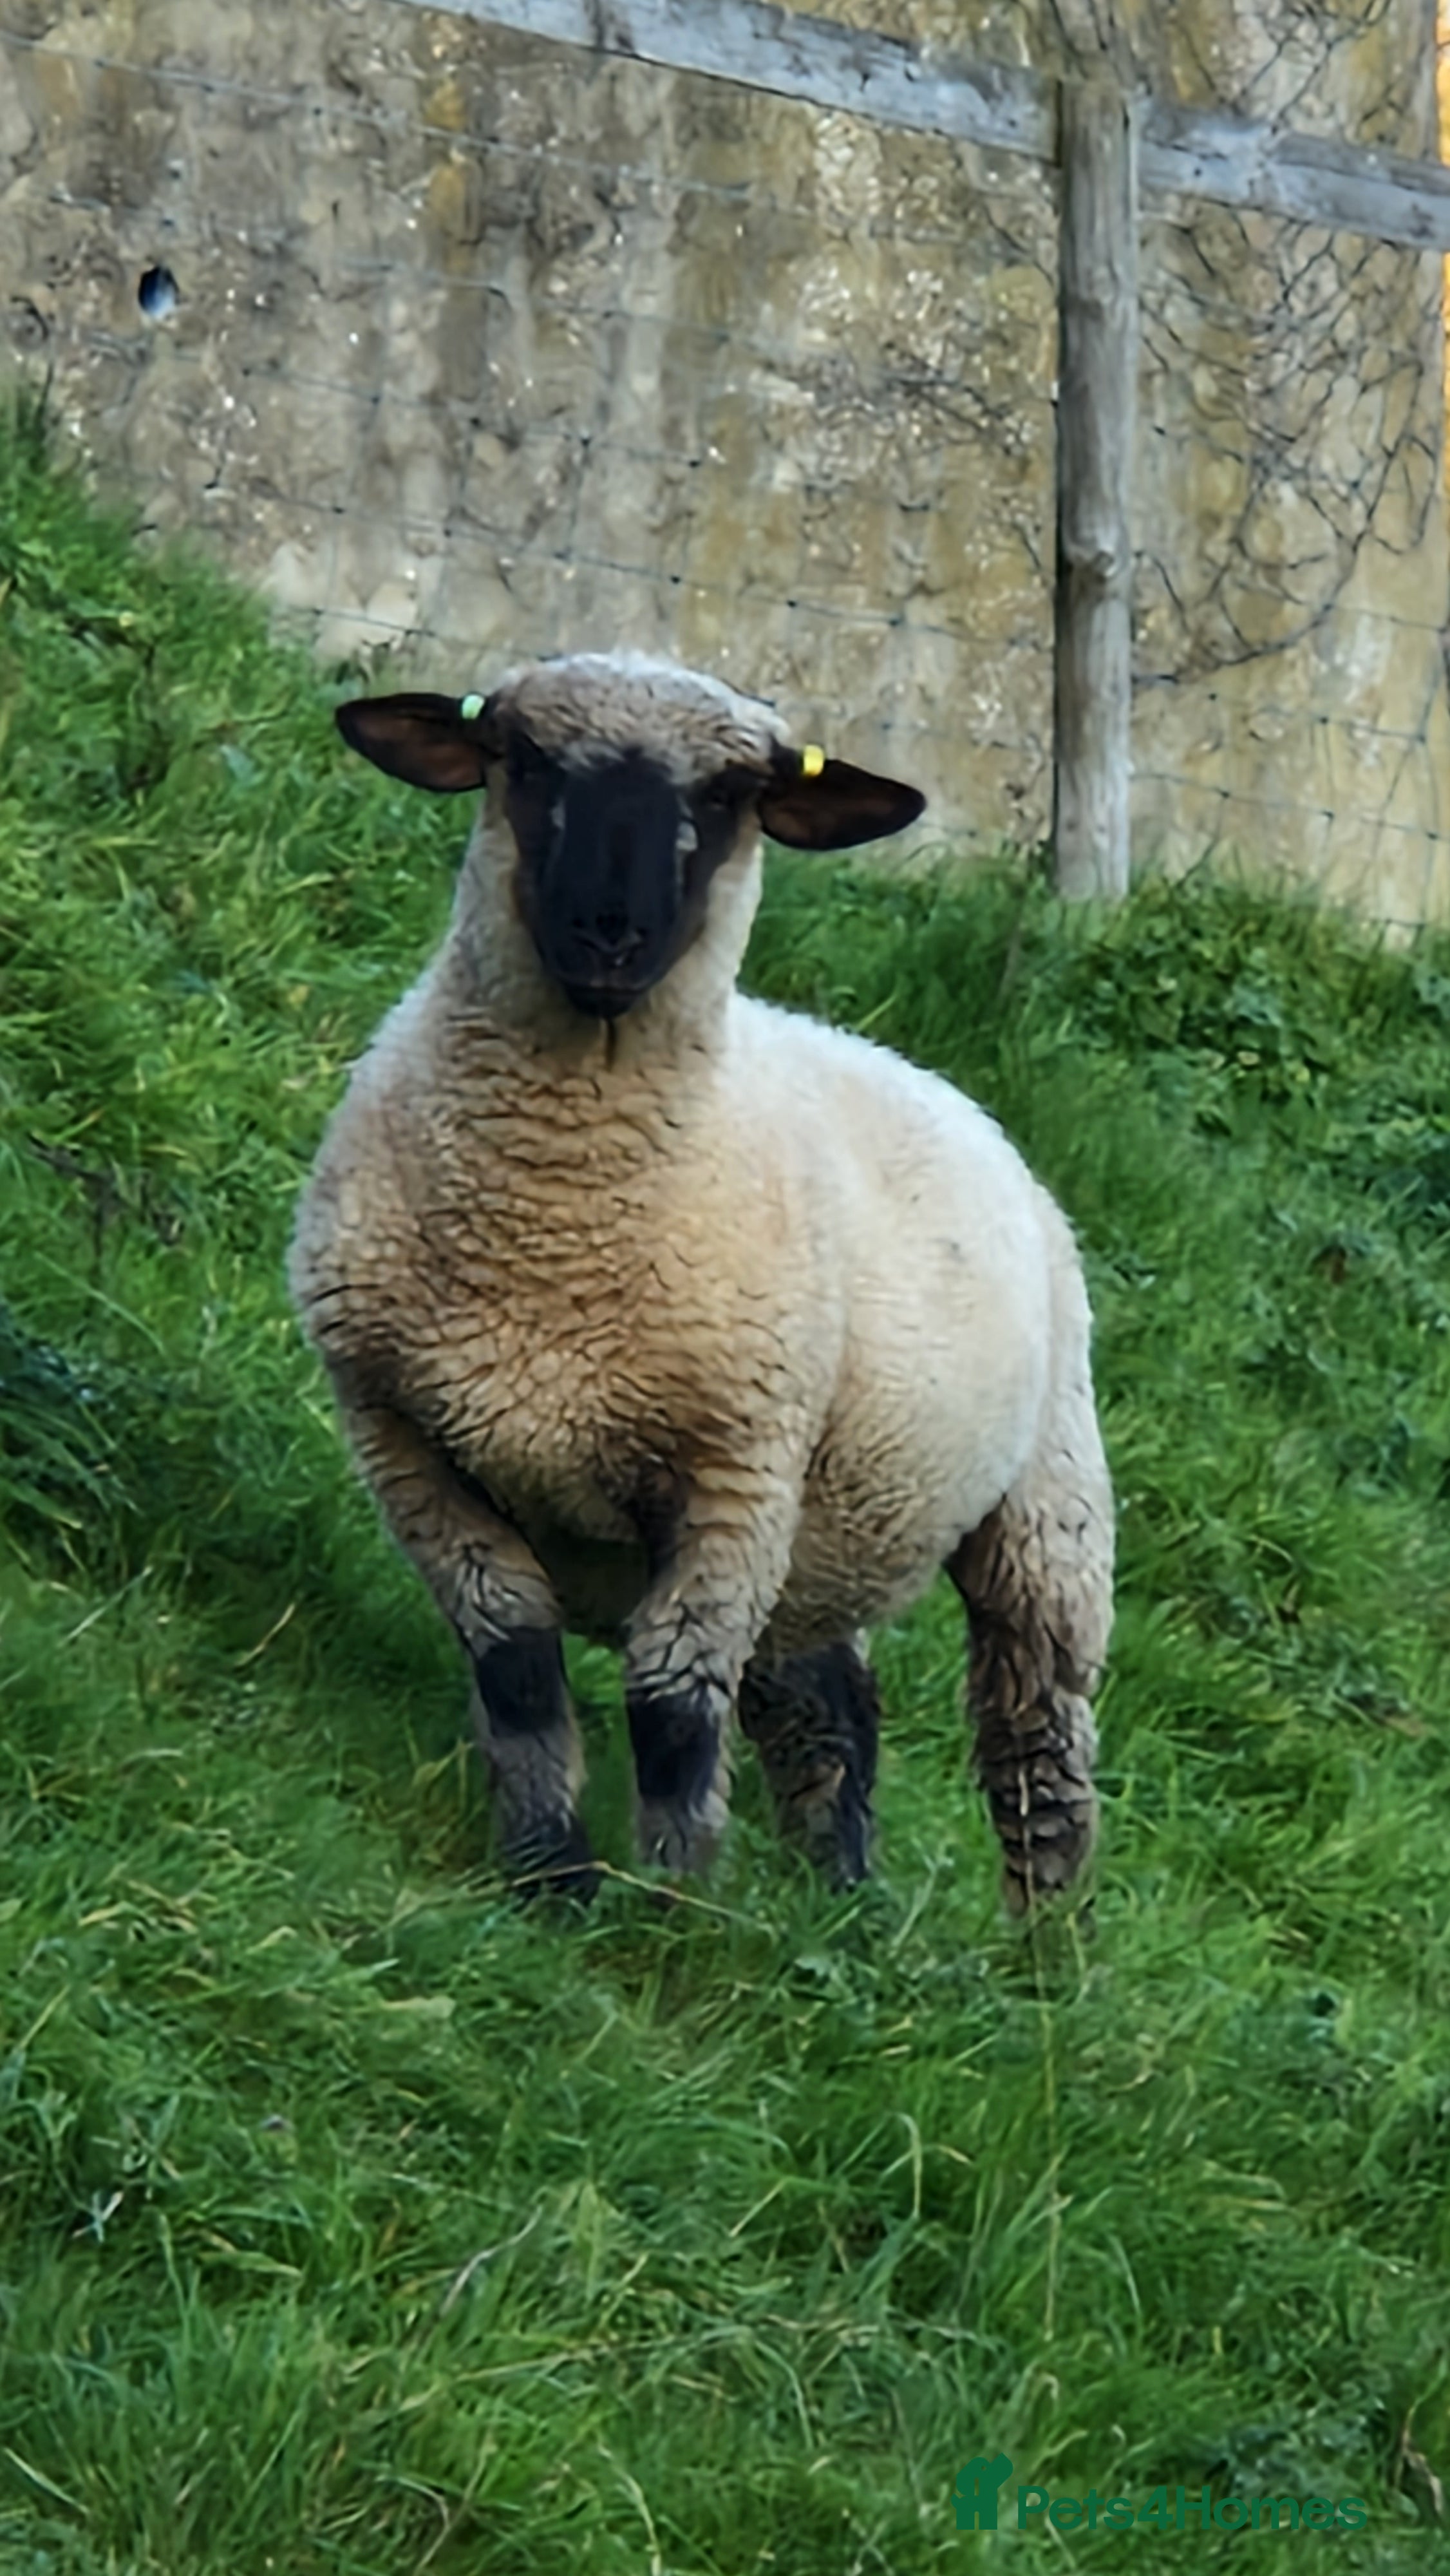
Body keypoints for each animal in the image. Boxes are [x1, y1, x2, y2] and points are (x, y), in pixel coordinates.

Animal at [289, 652, 1113, 1910]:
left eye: (730, 796)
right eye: (524, 759)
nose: (609, 935)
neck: (553, 1231)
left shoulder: (733, 1474)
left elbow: (673, 1706)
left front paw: (673, 1907)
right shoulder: (405, 1442)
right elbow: (516, 1670)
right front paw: (551, 1873)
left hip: (1043, 1513)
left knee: (1036, 1742)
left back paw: (1043, 1951)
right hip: (818, 1539)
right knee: (833, 1707)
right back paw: (839, 1908)